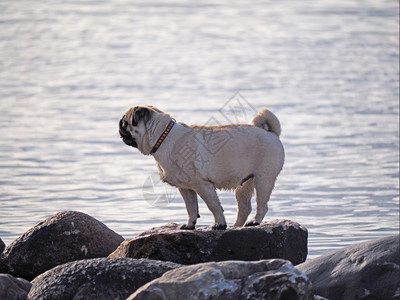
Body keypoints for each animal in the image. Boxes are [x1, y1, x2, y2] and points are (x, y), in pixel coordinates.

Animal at [119, 105, 284, 230]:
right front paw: (190, 225)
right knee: (244, 208)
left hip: (263, 180)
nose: (119, 125)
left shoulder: (203, 185)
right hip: (245, 184)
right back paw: (236, 226)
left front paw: (219, 225)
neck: (162, 136)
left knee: (262, 205)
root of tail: (271, 133)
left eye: (125, 123)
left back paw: (255, 222)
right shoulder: (186, 188)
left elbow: (214, 206)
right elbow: (191, 208)